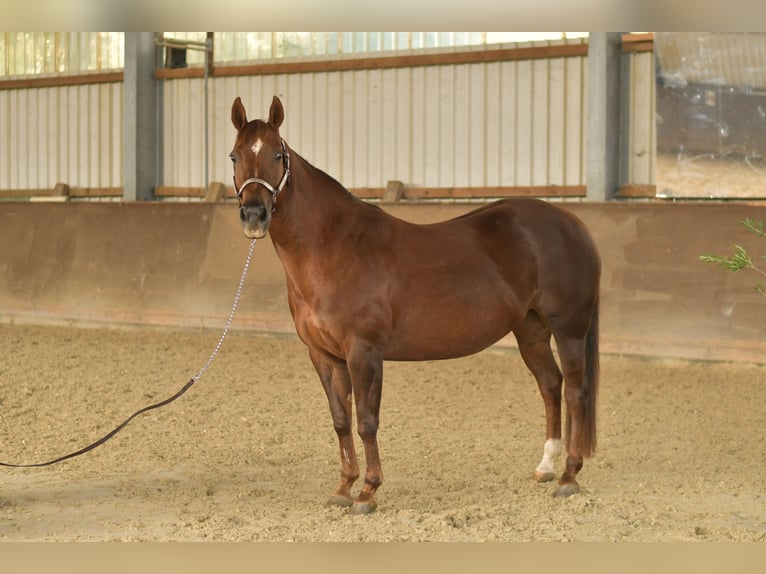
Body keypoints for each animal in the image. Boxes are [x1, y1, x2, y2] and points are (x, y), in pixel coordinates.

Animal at [230, 96, 601, 514]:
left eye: (277, 155)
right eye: (234, 156)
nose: (254, 214)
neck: (334, 247)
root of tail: (572, 223)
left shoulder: (364, 353)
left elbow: (367, 421)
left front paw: (368, 492)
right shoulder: (324, 355)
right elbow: (341, 420)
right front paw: (343, 488)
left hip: (569, 329)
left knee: (576, 391)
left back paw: (570, 476)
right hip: (531, 330)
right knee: (550, 385)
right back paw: (546, 466)